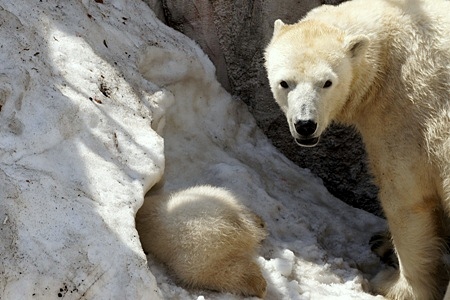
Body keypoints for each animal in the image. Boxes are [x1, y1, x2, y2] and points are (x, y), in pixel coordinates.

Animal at [266, 0, 450, 300]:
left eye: (327, 82)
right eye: (284, 82)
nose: (305, 125)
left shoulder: (407, 113)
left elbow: (406, 198)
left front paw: (395, 285)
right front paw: (382, 242)